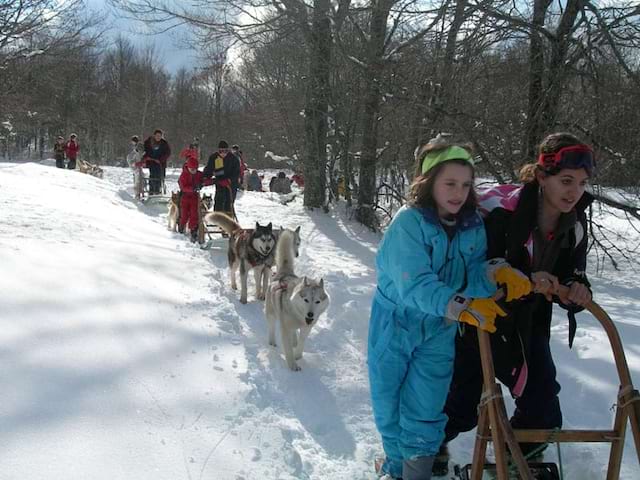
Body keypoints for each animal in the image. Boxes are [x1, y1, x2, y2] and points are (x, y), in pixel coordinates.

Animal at [264, 229, 328, 372]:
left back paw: (294, 341)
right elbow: (288, 349)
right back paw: (272, 343)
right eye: (306, 300)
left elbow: (301, 343)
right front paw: (292, 365)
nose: (310, 314)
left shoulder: (307, 328)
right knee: (271, 328)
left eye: (317, 302)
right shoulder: (285, 329)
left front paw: (298, 355)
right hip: (271, 314)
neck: (299, 317)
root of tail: (284, 273)